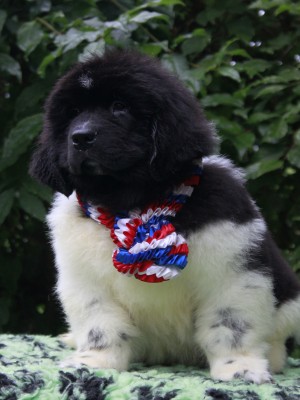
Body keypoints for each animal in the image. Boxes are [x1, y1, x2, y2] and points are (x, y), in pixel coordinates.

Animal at [29, 51, 300, 382]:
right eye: (74, 112)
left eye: (119, 107)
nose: (80, 137)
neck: (132, 203)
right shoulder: (85, 280)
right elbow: (101, 324)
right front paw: (93, 362)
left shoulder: (232, 273)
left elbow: (230, 325)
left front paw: (239, 368)